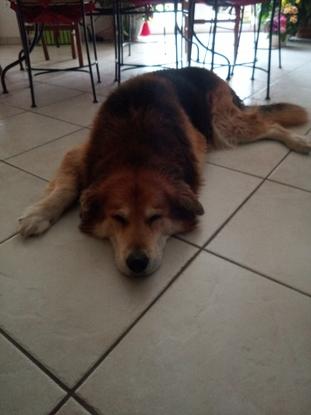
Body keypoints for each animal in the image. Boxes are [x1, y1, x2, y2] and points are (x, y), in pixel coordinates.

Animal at [17, 67, 311, 276]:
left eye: (156, 217)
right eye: (118, 218)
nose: (137, 262)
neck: (136, 150)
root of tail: (207, 71)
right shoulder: (80, 154)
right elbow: (66, 187)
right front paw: (39, 213)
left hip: (224, 124)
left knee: (271, 125)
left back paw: (299, 141)